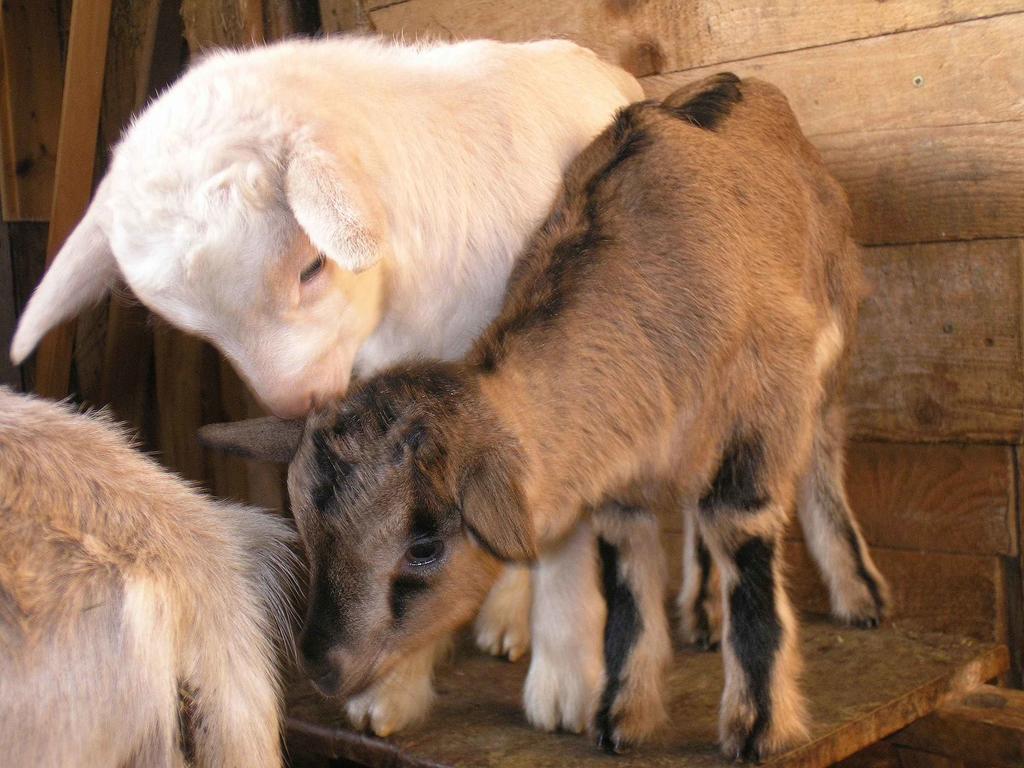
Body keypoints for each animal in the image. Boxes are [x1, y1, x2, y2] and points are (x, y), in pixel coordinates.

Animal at [205, 73, 888, 765]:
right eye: (305, 524)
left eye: (424, 547)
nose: (325, 668)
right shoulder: (622, 474)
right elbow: (629, 579)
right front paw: (621, 716)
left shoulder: (762, 421)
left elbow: (743, 542)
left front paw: (758, 727)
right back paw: (700, 614)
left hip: (828, 356)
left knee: (821, 459)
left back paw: (860, 596)